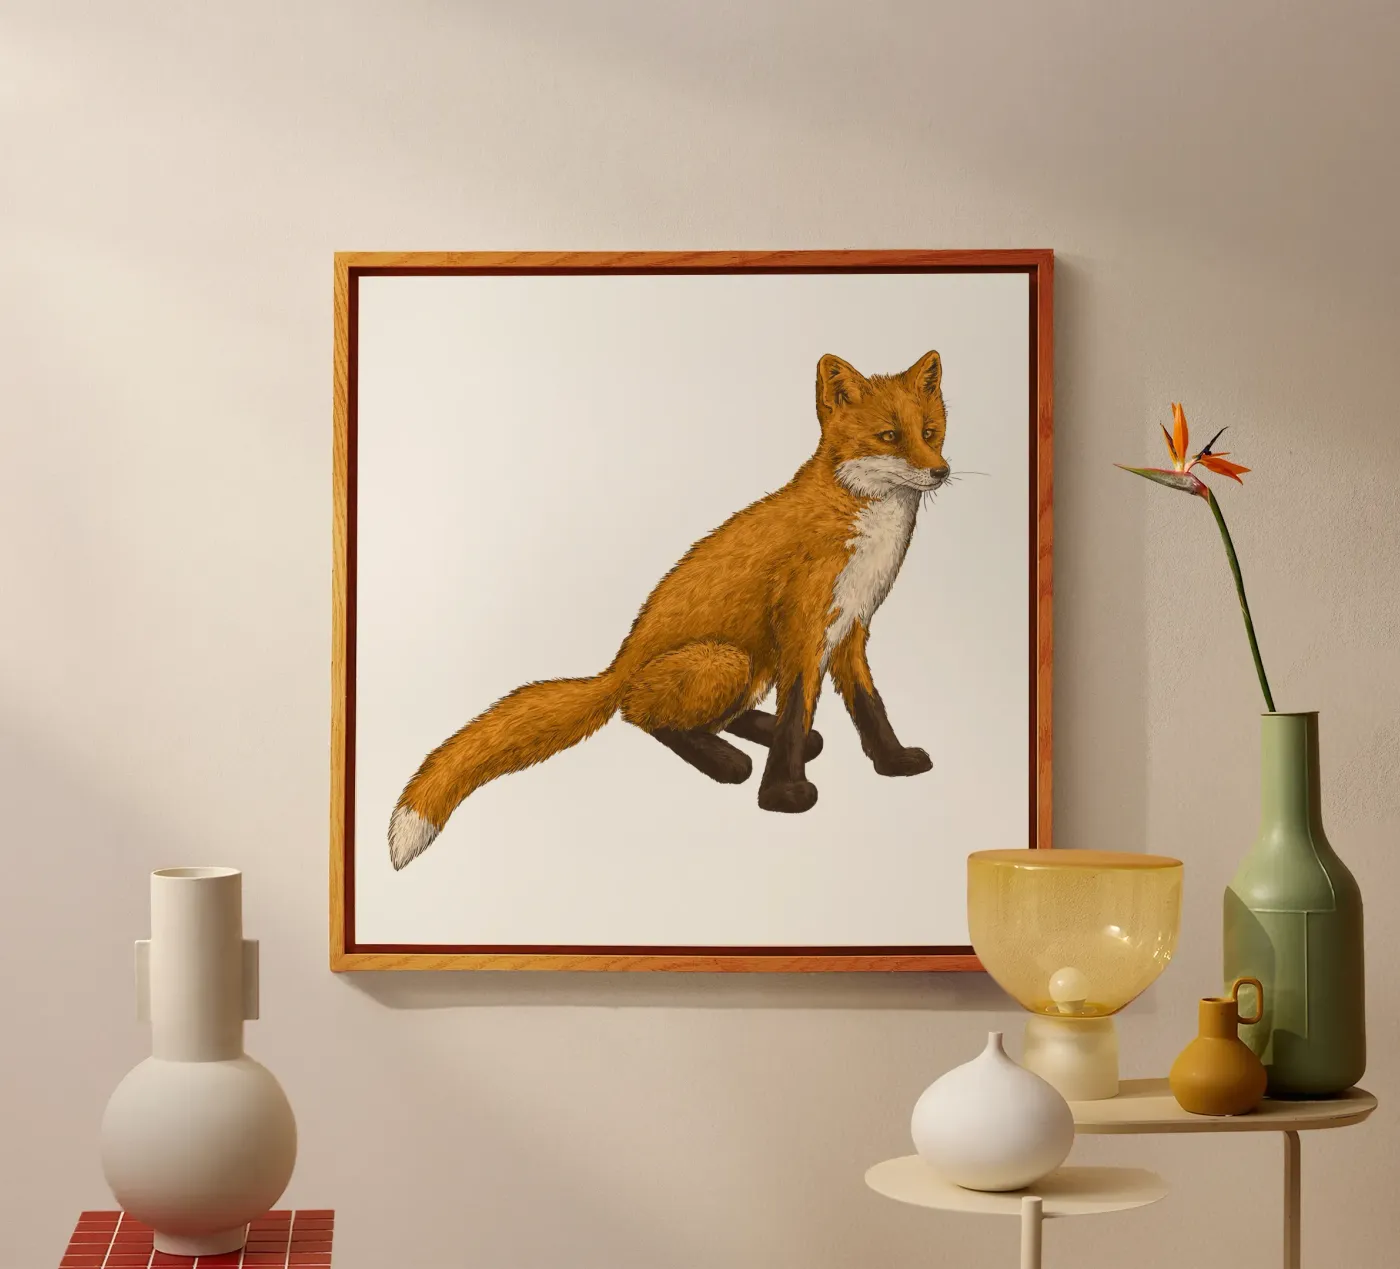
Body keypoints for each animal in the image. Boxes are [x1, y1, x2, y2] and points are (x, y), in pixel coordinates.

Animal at [388, 349, 951, 870]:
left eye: (930, 431)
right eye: (888, 436)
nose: (941, 472)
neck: (858, 521)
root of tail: (618, 667)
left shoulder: (851, 627)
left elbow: (869, 707)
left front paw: (895, 762)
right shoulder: (803, 627)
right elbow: (797, 713)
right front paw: (784, 796)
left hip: (751, 667)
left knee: (707, 716)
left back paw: (752, 735)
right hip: (727, 660)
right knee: (646, 717)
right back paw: (728, 762)